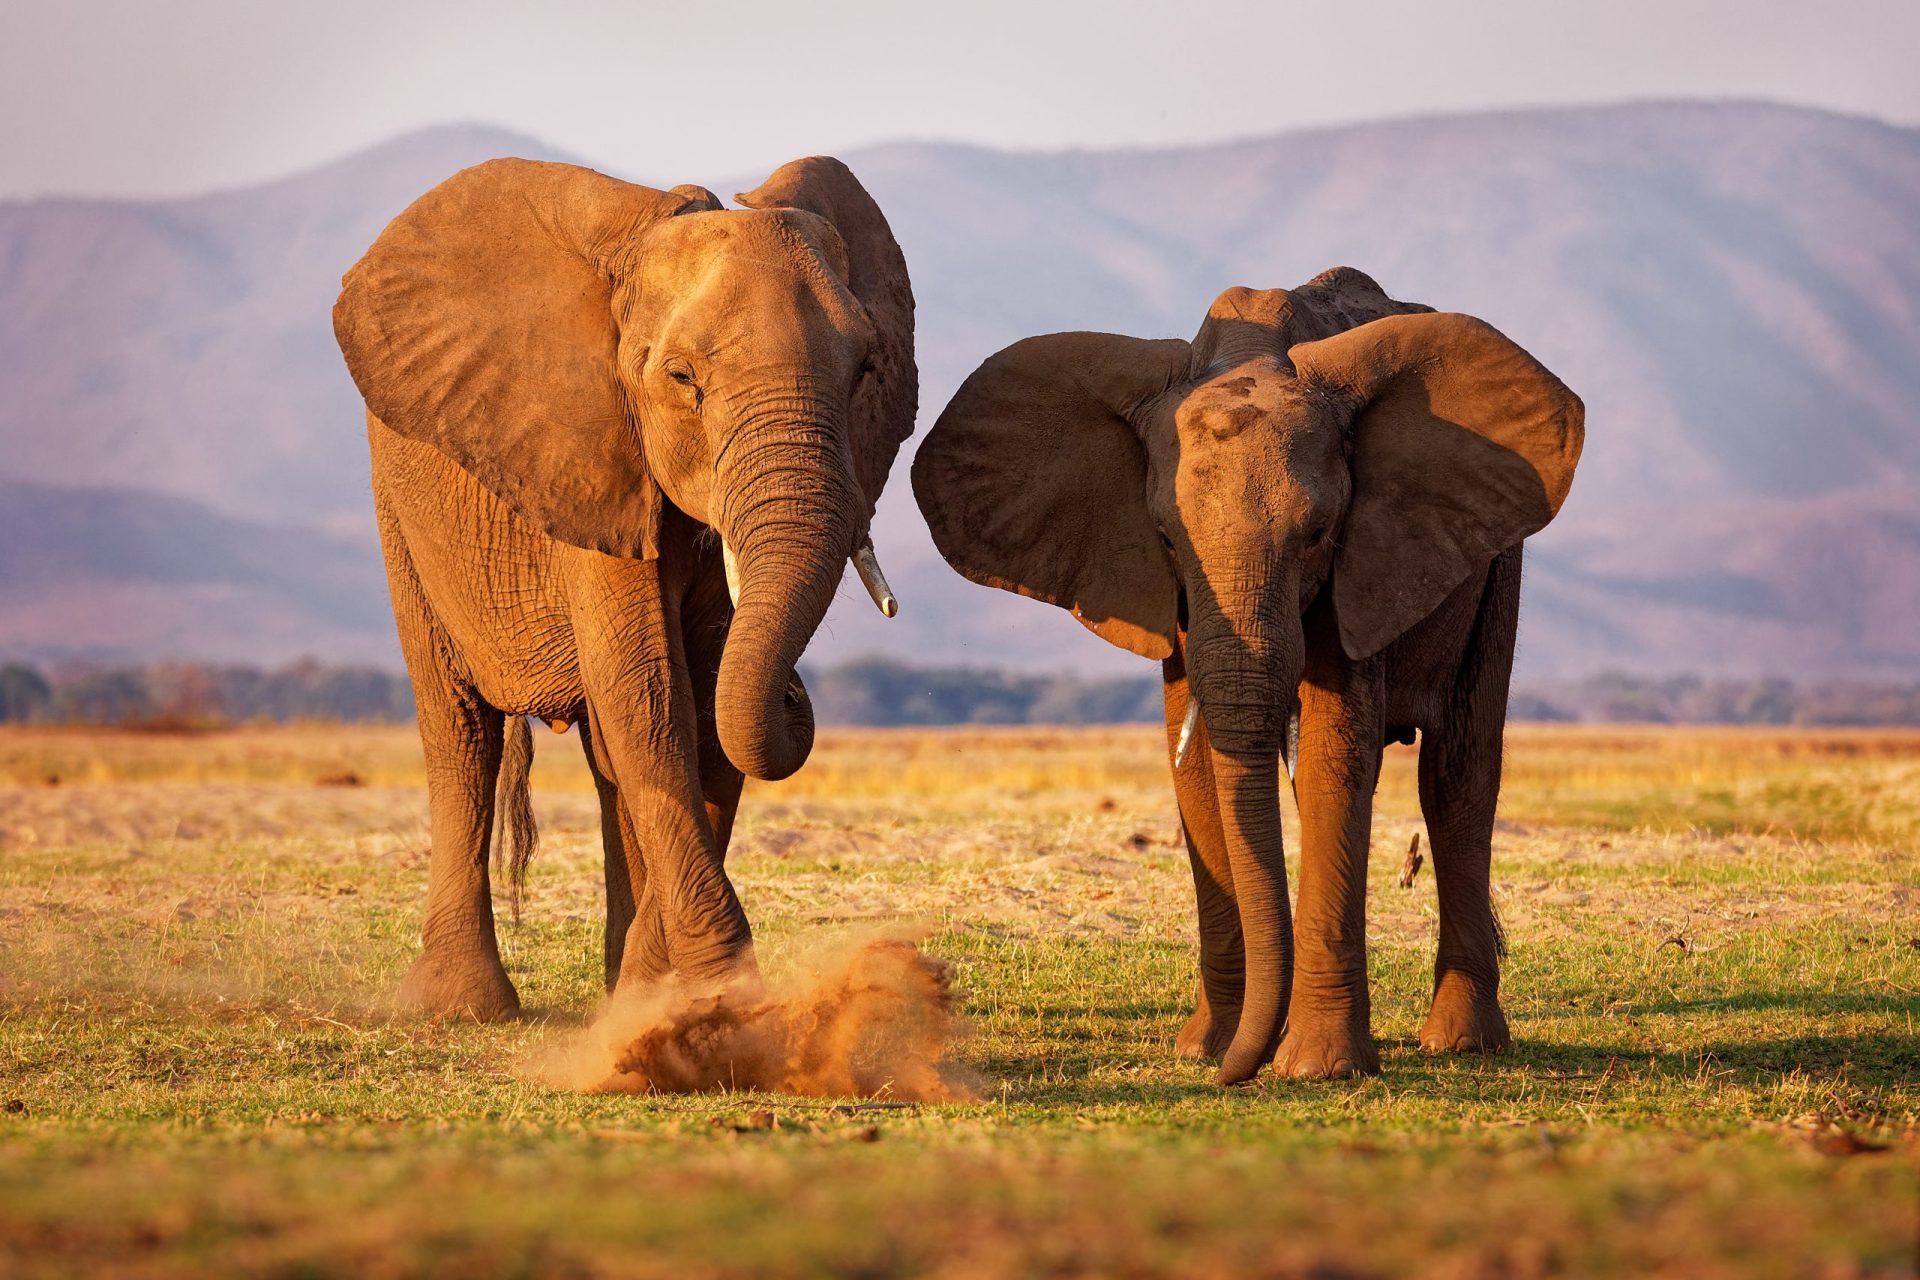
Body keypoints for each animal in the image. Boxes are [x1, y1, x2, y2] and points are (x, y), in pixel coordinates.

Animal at [336, 155, 913, 1020]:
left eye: (866, 373)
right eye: (682, 378)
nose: (797, 691)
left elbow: (703, 713)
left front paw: (657, 997)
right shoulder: (588, 456)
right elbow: (651, 698)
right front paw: (720, 996)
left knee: (604, 760)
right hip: (400, 503)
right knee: (460, 731)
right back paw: (460, 1008)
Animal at [906, 268, 1582, 1082]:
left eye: (1318, 534)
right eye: (1165, 537)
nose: (1236, 1075)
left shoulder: (1364, 557)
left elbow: (1331, 760)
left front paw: (1317, 1067)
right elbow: (1196, 768)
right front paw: (1207, 1049)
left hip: (1495, 565)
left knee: (1459, 773)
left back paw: (1461, 1041)